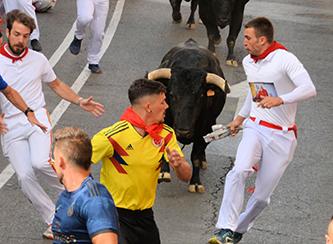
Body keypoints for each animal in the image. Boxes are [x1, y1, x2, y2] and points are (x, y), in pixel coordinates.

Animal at [147, 38, 230, 193]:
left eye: (201, 96)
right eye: (172, 94)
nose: (183, 131)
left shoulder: (204, 129)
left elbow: (196, 155)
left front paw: (195, 183)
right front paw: (163, 173)